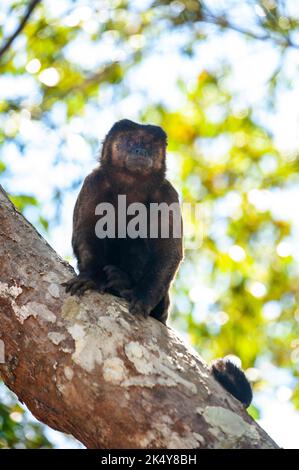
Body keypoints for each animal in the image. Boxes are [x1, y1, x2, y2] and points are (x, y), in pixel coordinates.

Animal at [63, 118, 253, 408]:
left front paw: (142, 297)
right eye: (131, 140)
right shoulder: (93, 183)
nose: (140, 150)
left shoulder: (166, 192)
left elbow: (168, 250)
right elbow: (85, 232)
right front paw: (91, 277)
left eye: (150, 144)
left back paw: (123, 284)